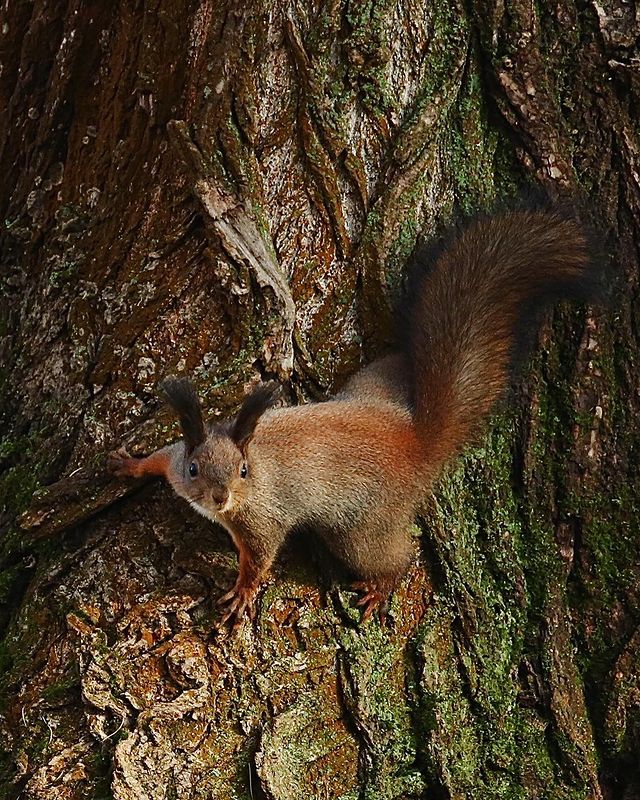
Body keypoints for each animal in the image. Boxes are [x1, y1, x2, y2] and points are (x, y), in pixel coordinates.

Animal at [108, 208, 600, 627]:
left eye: (242, 470)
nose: (221, 497)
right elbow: (158, 458)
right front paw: (127, 465)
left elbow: (261, 558)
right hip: (373, 381)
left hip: (362, 527)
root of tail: (417, 440)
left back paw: (382, 585)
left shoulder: (262, 518)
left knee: (397, 554)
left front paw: (244, 592)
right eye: (195, 469)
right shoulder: (176, 460)